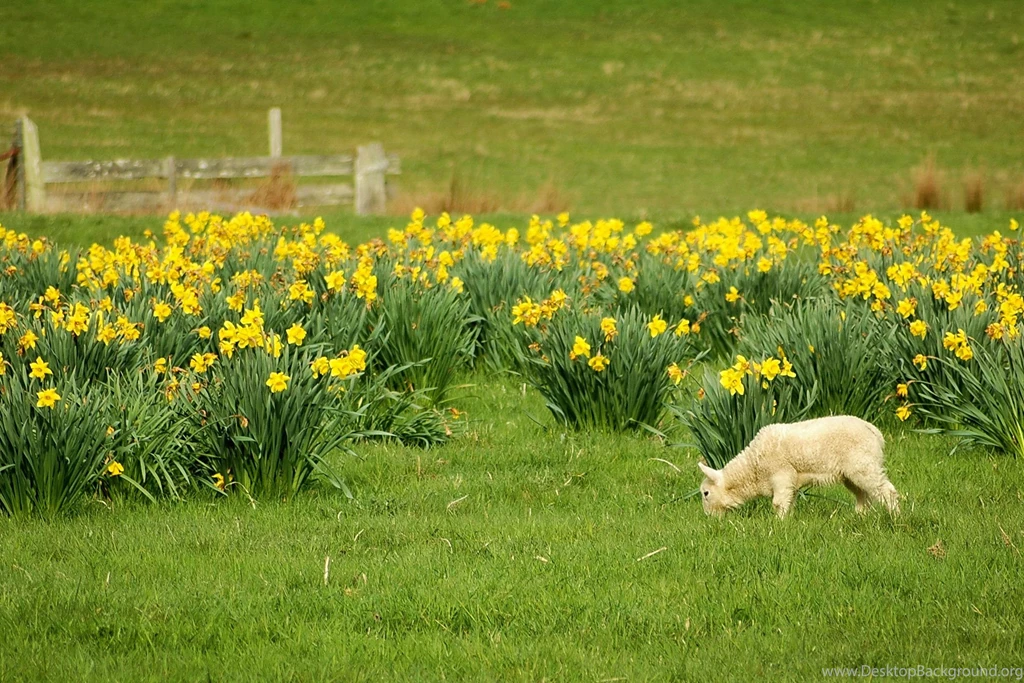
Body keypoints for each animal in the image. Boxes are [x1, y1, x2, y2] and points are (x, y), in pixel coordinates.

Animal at [697, 415, 900, 518]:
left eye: (706, 493)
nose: (709, 519)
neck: (753, 469)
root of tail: (874, 431)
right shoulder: (791, 482)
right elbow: (788, 502)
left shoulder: (781, 474)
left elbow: (778, 503)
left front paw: (778, 525)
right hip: (851, 473)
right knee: (862, 495)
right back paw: (858, 517)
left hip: (864, 465)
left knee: (887, 491)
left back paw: (896, 517)